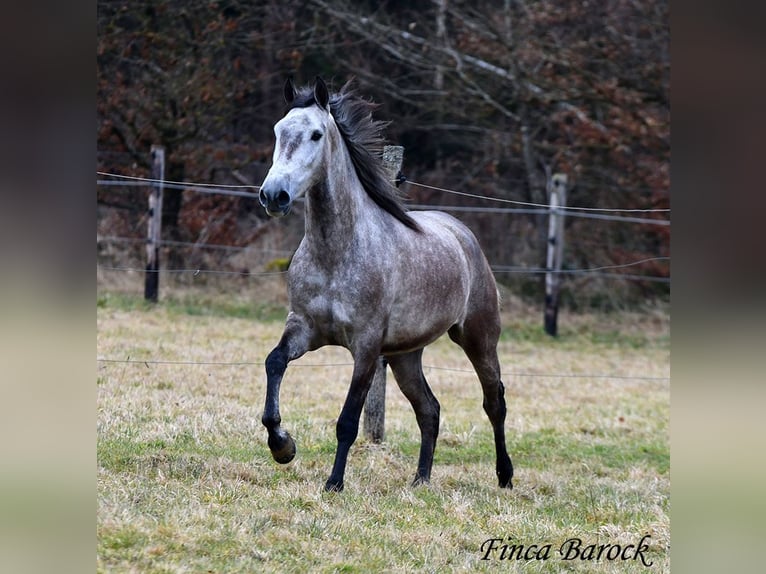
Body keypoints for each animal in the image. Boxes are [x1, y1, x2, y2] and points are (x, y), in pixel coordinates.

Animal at [260, 74, 516, 492]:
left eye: (316, 134)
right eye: (279, 131)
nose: (273, 196)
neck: (337, 252)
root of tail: (463, 234)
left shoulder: (365, 346)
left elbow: (348, 420)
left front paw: (334, 483)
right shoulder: (304, 328)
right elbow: (274, 362)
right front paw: (283, 446)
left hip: (478, 337)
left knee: (494, 401)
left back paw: (505, 476)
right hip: (405, 355)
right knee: (429, 408)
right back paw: (421, 480)